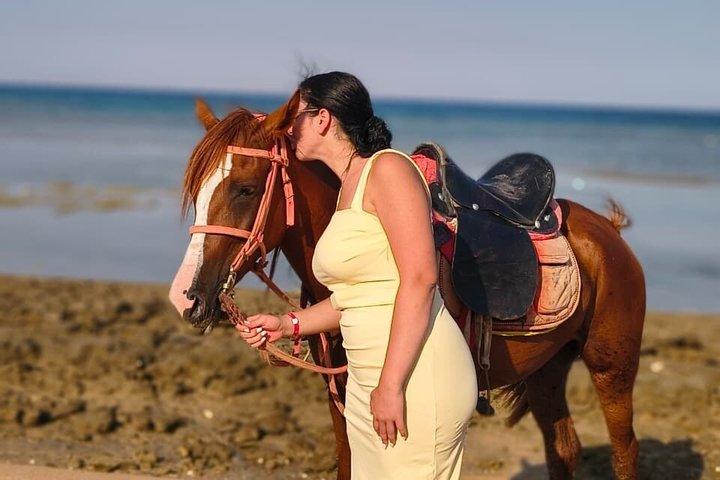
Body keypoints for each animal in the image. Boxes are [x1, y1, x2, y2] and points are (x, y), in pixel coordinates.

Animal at [169, 97, 646, 480]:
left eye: (245, 189)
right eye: (198, 188)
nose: (185, 298)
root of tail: (609, 232)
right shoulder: (342, 399)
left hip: (612, 369)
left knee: (625, 450)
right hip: (548, 369)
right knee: (564, 448)